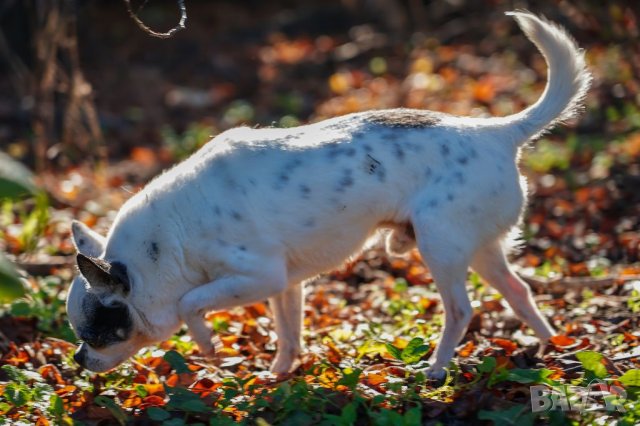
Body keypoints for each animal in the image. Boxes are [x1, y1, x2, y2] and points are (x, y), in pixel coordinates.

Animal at [65, 10, 592, 378]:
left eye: (95, 333)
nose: (75, 360)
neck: (169, 240)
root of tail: (497, 132)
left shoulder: (257, 276)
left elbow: (192, 303)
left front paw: (209, 346)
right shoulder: (284, 285)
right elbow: (288, 331)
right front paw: (278, 374)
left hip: (439, 245)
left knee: (462, 310)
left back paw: (438, 369)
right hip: (482, 249)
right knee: (519, 291)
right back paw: (553, 349)